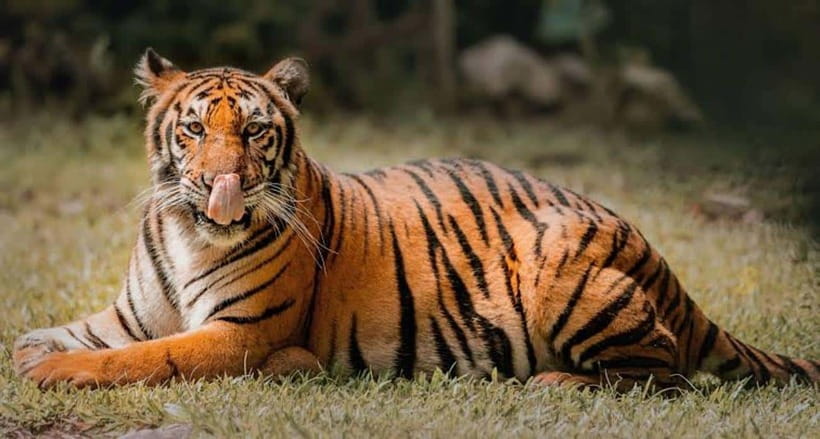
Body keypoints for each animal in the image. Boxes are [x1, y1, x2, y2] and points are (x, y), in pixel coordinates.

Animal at [13, 49, 818, 390]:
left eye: (253, 131)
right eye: (191, 131)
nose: (221, 186)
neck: (188, 234)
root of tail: (646, 242)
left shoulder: (237, 332)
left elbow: (140, 359)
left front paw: (55, 373)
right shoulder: (130, 314)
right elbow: (47, 336)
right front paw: (34, 356)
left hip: (560, 266)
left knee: (665, 372)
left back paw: (553, 385)